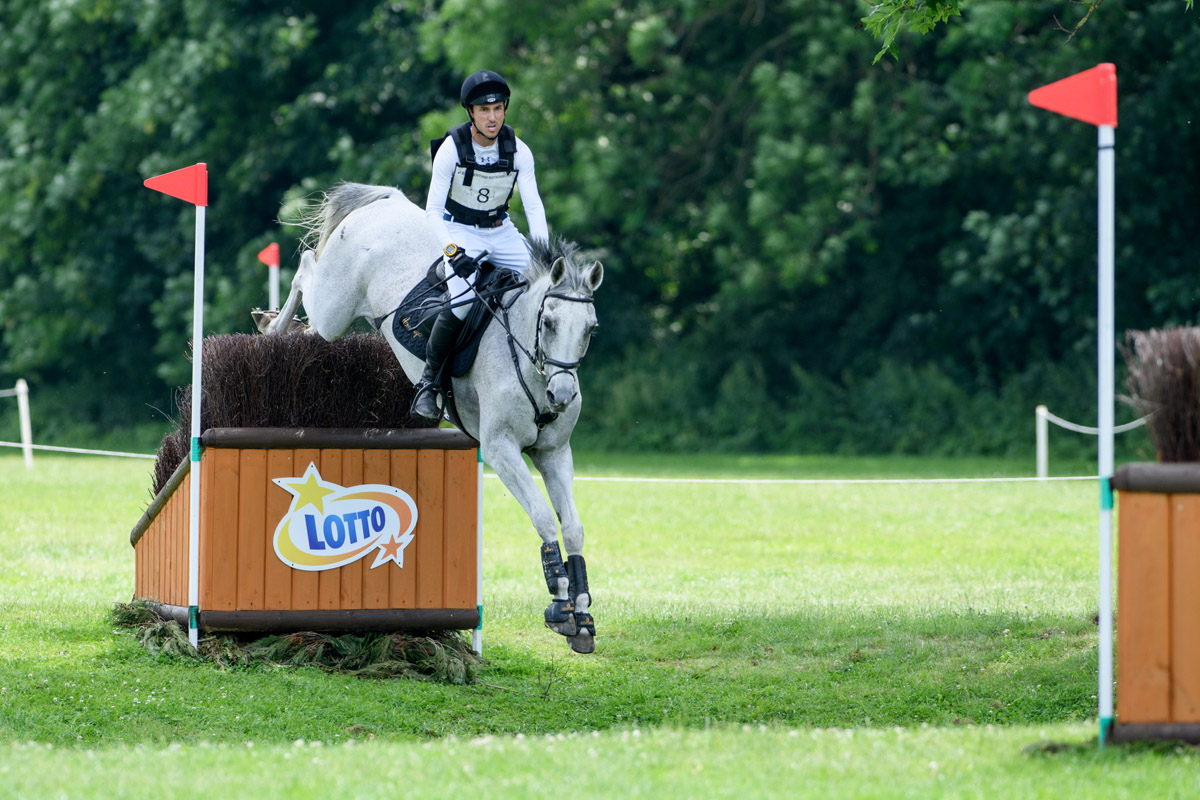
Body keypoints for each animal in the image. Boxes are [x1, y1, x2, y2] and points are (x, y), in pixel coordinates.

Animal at [263, 182, 603, 654]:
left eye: (590, 328)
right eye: (549, 323)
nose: (563, 396)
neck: (526, 358)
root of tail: (386, 200)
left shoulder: (554, 454)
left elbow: (572, 526)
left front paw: (582, 613)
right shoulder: (500, 450)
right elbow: (540, 514)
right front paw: (559, 605)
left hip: (334, 317)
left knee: (312, 314)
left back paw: (290, 330)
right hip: (334, 306)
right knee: (305, 267)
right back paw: (272, 328)